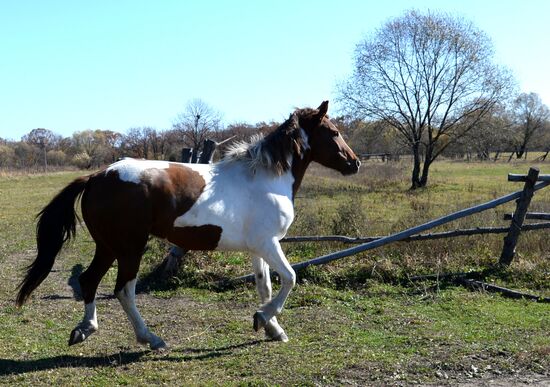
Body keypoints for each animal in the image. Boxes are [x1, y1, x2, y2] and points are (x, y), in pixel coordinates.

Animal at [15, 101, 362, 350]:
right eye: (333, 132)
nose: (354, 163)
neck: (265, 178)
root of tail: (97, 176)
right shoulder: (269, 244)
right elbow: (289, 278)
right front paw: (263, 318)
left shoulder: (259, 247)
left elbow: (264, 286)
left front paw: (272, 328)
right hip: (129, 248)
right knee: (123, 289)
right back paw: (151, 339)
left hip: (108, 246)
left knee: (89, 281)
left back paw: (85, 330)